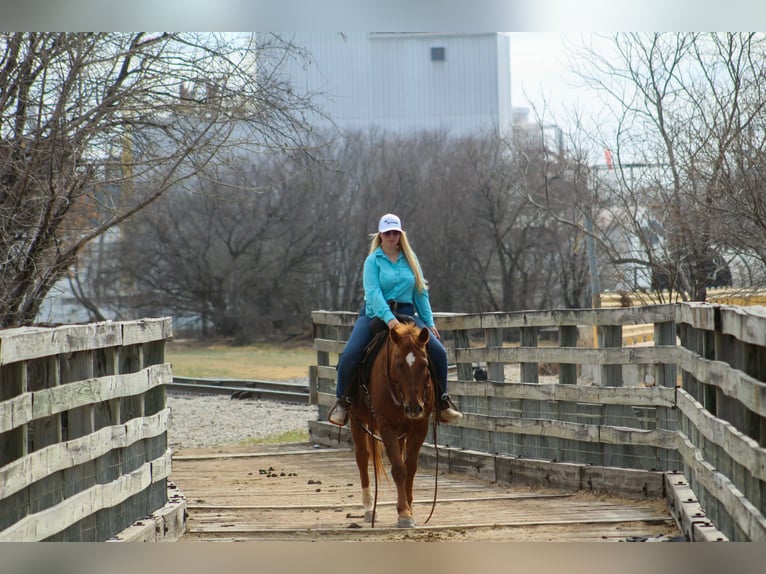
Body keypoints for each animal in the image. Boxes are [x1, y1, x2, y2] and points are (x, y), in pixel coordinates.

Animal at [348, 322, 436, 528]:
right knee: (362, 458)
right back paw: (368, 508)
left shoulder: (420, 426)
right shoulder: (386, 425)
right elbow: (398, 468)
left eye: (425, 364)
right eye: (398, 364)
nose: (414, 407)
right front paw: (404, 514)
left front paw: (408, 508)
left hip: (401, 431)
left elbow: (409, 467)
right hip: (357, 419)